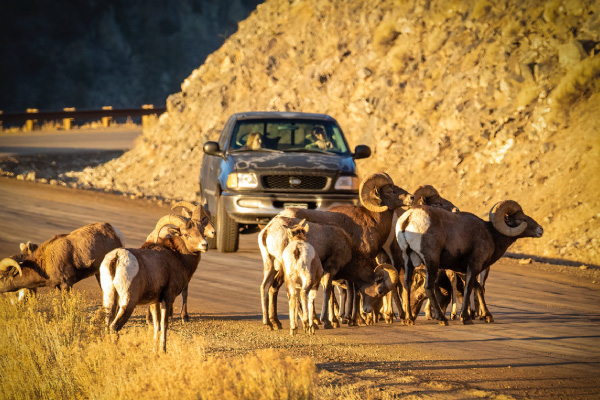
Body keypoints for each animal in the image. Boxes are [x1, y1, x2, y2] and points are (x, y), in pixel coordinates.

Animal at [103, 205, 213, 352]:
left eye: (201, 231)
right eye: (186, 234)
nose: (204, 245)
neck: (178, 256)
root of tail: (117, 257)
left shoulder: (154, 302)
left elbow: (156, 325)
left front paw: (155, 349)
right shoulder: (168, 297)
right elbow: (164, 324)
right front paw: (163, 350)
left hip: (109, 297)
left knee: (107, 323)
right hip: (128, 301)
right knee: (114, 326)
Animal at [398, 200, 544, 324]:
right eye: (521, 219)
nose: (540, 230)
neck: (492, 235)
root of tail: (409, 218)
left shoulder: (463, 270)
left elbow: (477, 288)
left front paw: (486, 316)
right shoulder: (474, 266)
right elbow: (469, 288)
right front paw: (466, 318)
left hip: (407, 259)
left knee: (407, 284)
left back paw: (409, 319)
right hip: (431, 262)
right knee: (428, 286)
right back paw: (442, 319)